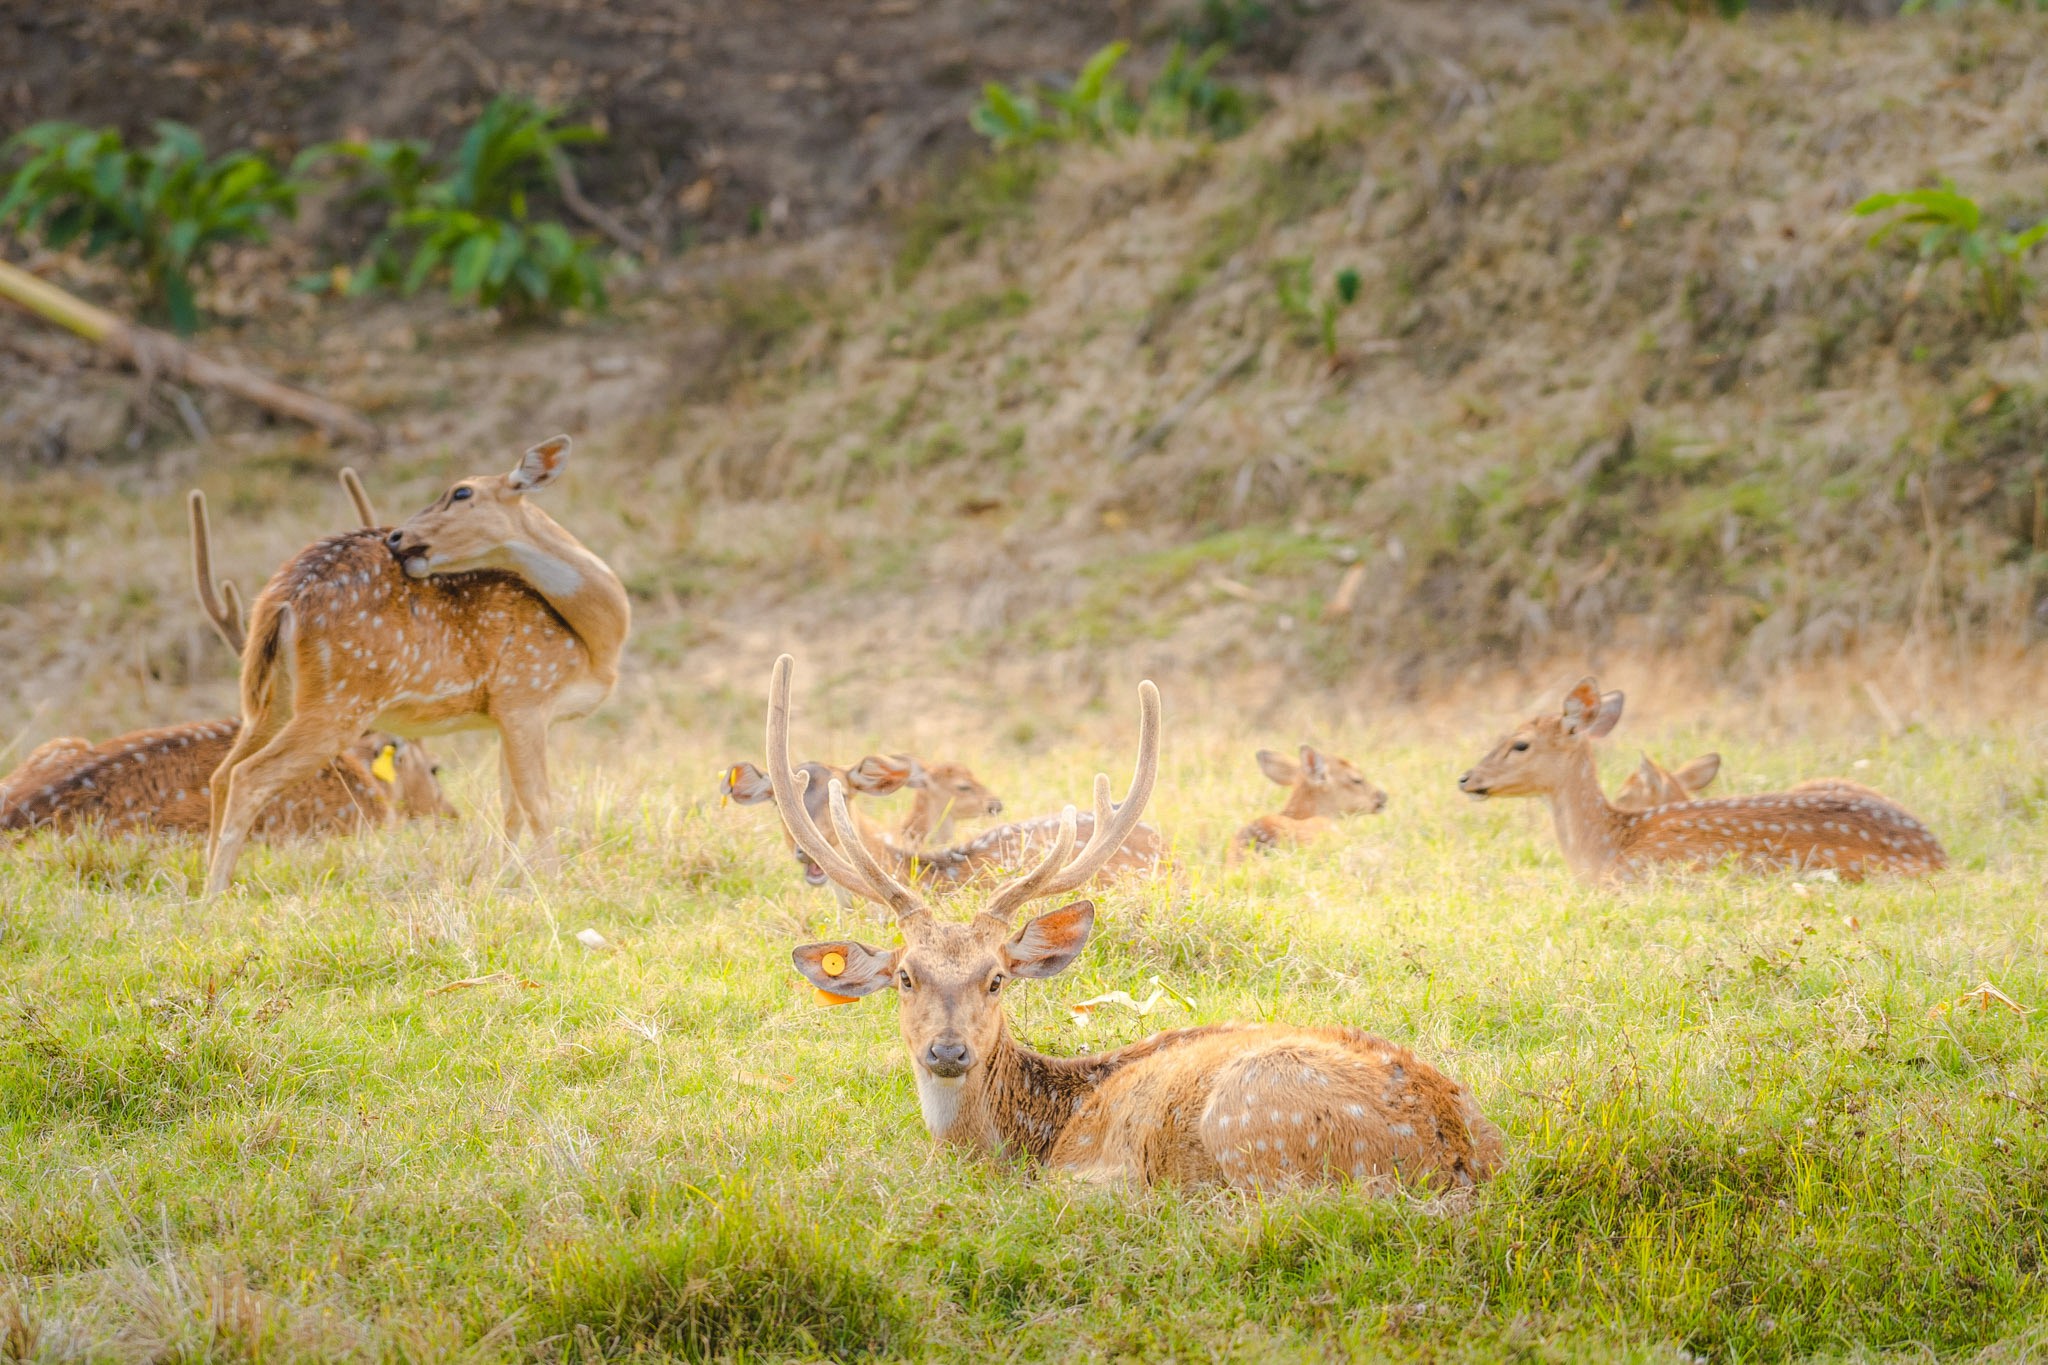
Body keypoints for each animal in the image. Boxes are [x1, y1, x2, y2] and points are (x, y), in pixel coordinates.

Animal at [206, 431, 626, 892]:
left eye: (462, 492)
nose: (396, 537)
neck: (592, 644)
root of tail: (284, 597)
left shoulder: (507, 714)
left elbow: (510, 806)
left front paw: (501, 877)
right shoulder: (525, 692)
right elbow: (538, 802)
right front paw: (553, 882)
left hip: (274, 697)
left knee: (222, 773)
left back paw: (202, 883)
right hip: (340, 697)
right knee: (250, 775)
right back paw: (216, 892)